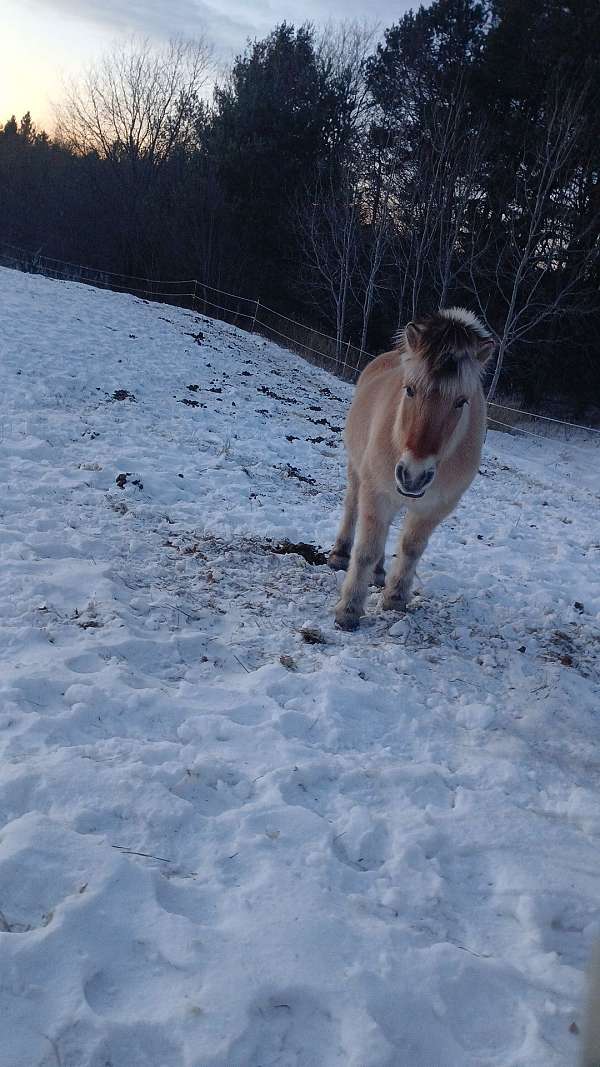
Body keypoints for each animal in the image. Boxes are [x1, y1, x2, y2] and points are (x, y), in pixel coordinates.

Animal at [328, 305, 493, 627]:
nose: (414, 475)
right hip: (359, 472)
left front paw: (395, 598)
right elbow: (365, 551)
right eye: (410, 390)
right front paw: (349, 610)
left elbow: (411, 548)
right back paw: (340, 555)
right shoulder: (377, 492)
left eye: (461, 401)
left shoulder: (436, 506)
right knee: (352, 507)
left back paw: (379, 574)